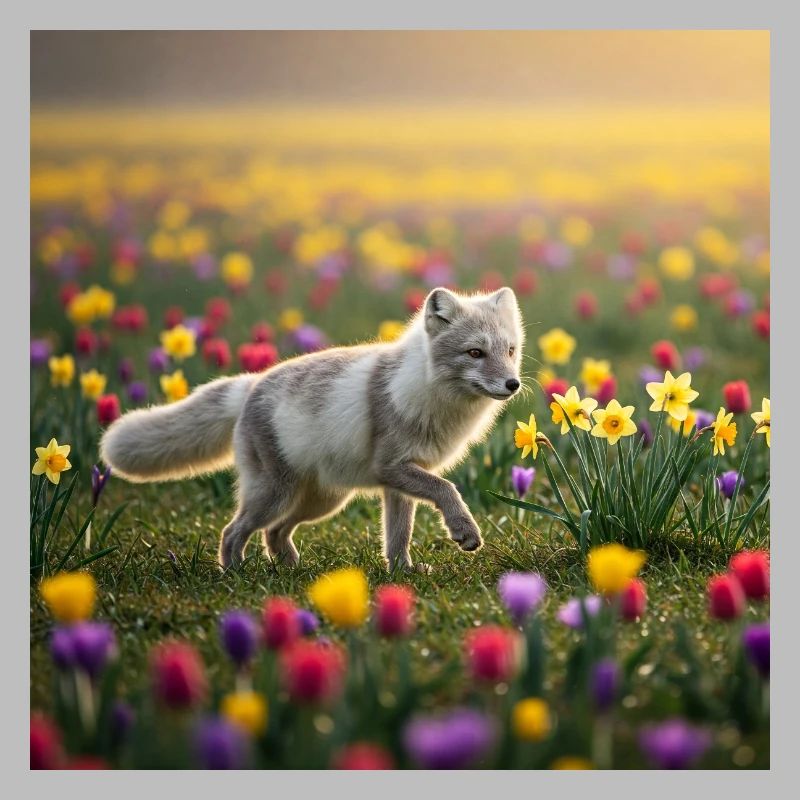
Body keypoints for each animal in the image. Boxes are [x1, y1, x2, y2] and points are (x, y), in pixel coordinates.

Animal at [100, 286, 525, 573]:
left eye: (509, 351)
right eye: (474, 353)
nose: (513, 385)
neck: (427, 390)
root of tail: (252, 384)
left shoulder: (397, 484)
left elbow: (397, 536)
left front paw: (402, 573)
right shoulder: (393, 469)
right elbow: (447, 489)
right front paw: (464, 531)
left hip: (321, 501)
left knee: (274, 533)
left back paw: (290, 569)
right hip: (275, 495)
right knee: (233, 531)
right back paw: (235, 574)